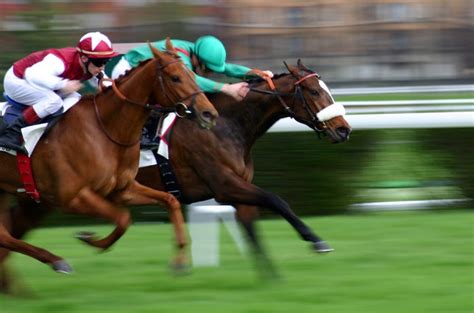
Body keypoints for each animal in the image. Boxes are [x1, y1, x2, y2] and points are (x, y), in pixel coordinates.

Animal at [0, 37, 218, 282]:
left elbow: (170, 200)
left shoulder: (122, 189)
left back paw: (55, 261)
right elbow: (123, 219)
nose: (209, 114)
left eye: (193, 75)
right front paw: (90, 238)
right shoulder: (73, 197)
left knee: (3, 236)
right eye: (175, 78)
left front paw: (179, 260)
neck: (106, 129)